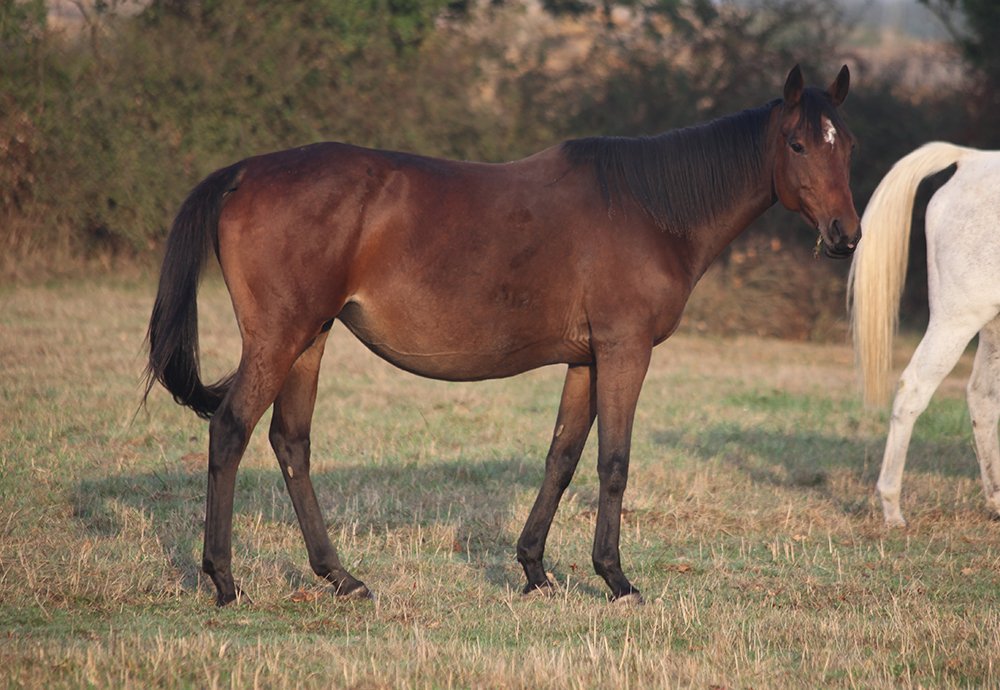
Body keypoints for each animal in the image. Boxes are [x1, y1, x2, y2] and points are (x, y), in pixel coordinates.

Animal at [145, 64, 859, 606]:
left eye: (845, 143)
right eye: (798, 144)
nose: (845, 235)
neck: (647, 208)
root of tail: (245, 172)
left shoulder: (587, 360)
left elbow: (562, 458)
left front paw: (535, 570)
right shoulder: (624, 351)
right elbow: (614, 462)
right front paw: (616, 579)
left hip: (310, 337)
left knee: (290, 443)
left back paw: (341, 577)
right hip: (279, 337)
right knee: (230, 431)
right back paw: (225, 581)